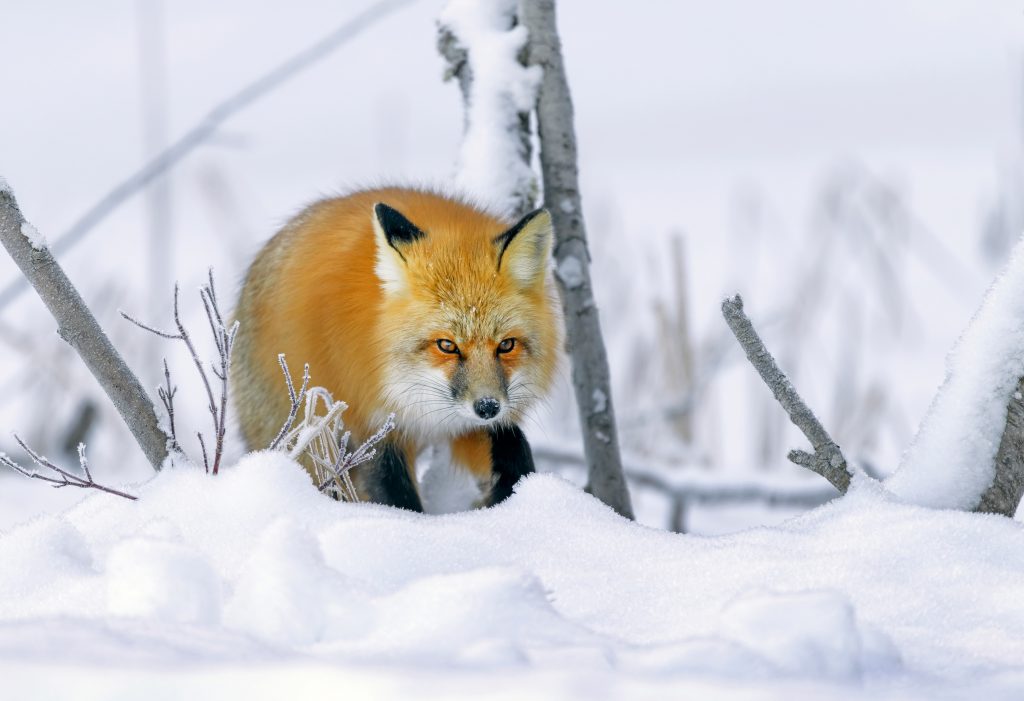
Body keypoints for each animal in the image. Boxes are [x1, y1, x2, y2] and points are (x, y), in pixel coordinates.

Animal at [231, 187, 561, 511]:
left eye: (506, 345)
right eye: (446, 345)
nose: (488, 407)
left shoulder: (464, 424)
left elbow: (513, 446)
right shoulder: (374, 422)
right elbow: (398, 499)